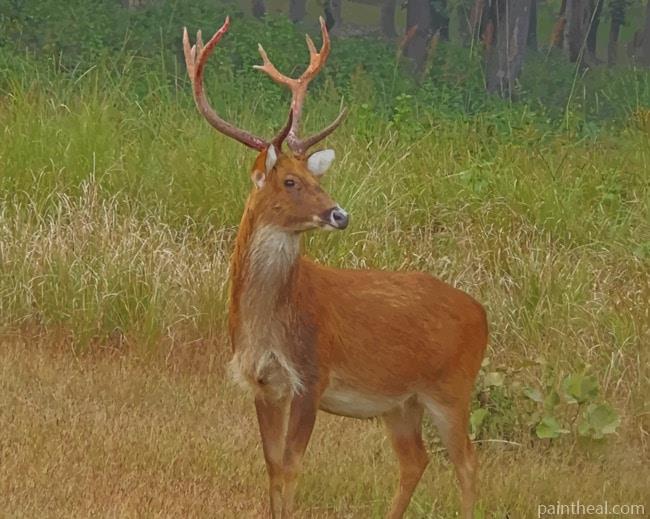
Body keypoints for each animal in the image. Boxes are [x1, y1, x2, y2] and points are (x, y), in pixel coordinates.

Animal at [183, 16, 488, 519]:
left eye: (316, 178)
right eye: (290, 181)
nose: (339, 214)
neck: (270, 322)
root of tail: (482, 314)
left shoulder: (312, 374)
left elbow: (291, 466)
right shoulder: (263, 383)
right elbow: (272, 465)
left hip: (452, 386)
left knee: (467, 462)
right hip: (400, 402)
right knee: (416, 459)